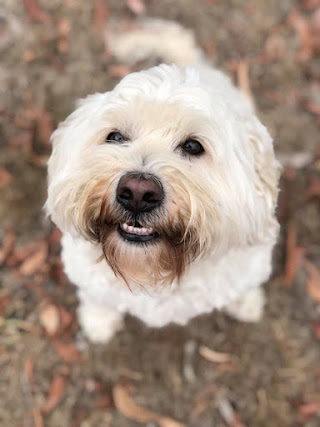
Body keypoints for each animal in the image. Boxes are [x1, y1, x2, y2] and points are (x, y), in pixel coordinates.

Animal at [45, 19, 280, 344]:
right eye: (115, 136)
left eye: (193, 146)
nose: (137, 192)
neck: (154, 269)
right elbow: (97, 297)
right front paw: (98, 322)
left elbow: (243, 285)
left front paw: (247, 303)